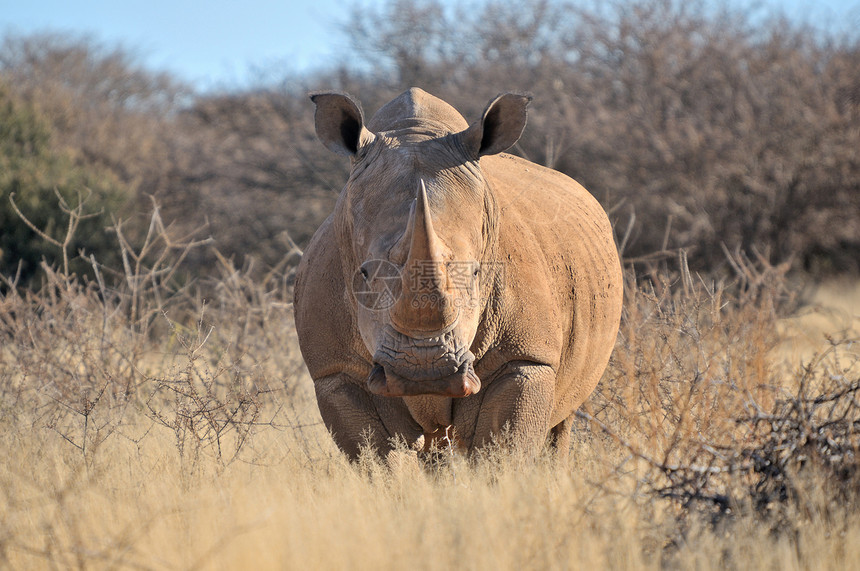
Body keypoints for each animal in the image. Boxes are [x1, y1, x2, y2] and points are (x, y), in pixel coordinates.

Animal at [292, 88, 620, 460]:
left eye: (477, 272)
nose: (424, 371)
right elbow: (379, 457)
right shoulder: (337, 371)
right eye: (363, 273)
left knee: (562, 419)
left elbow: (503, 452)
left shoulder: (525, 359)